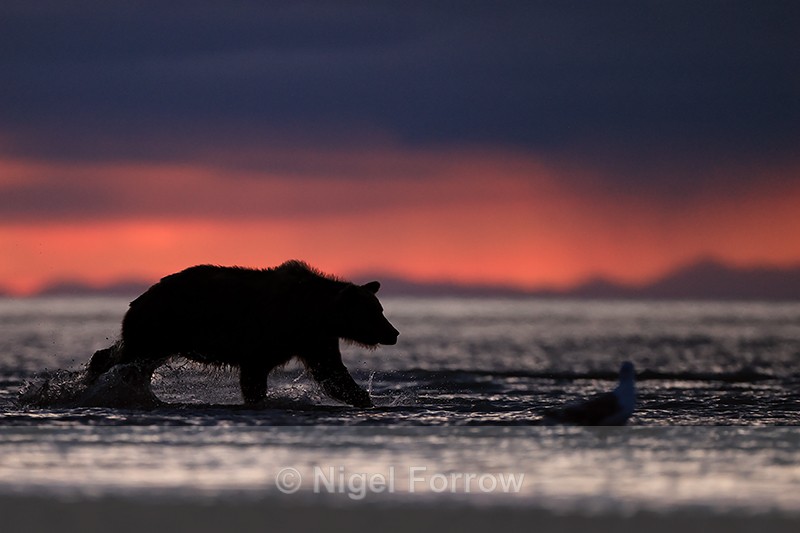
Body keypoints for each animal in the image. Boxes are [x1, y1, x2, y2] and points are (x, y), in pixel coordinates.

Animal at [85, 260, 399, 407]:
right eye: (375, 312)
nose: (393, 333)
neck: (315, 313)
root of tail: (140, 297)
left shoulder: (314, 340)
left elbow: (332, 374)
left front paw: (363, 398)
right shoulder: (269, 334)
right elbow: (254, 373)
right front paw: (258, 399)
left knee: (130, 359)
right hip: (160, 326)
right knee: (128, 355)